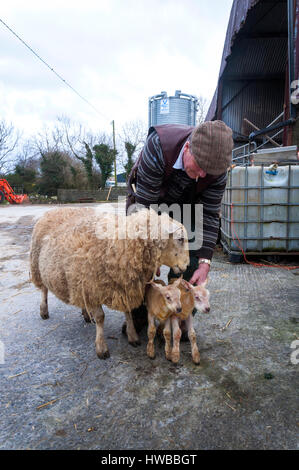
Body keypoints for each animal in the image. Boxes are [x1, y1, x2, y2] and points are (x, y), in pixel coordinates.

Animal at [30, 207, 190, 358]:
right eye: (180, 239)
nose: (186, 266)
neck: (121, 245)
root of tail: (54, 210)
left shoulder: (124, 286)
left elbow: (128, 312)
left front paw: (132, 336)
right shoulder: (92, 287)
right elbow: (101, 318)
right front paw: (101, 348)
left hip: (77, 279)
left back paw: (86, 314)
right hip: (37, 265)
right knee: (43, 289)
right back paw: (44, 310)